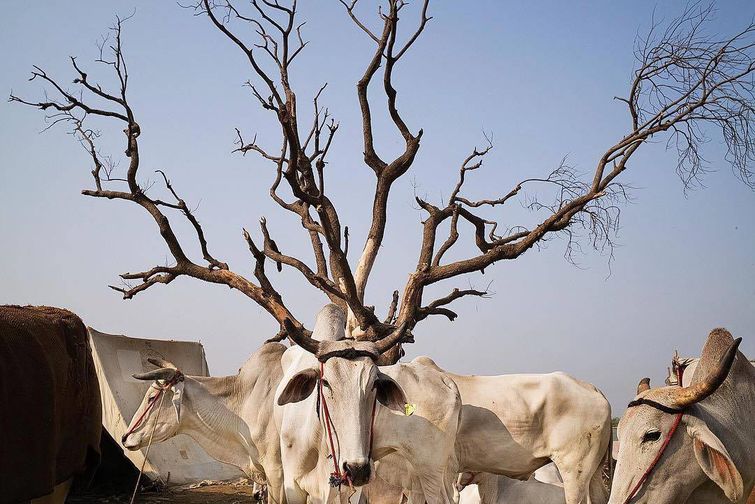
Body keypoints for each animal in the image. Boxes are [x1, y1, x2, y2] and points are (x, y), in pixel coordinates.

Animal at [274, 304, 458, 504]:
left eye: (375, 383)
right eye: (325, 382)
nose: (357, 470)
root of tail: (445, 379)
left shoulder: (341, 488)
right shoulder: (293, 485)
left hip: (431, 470)